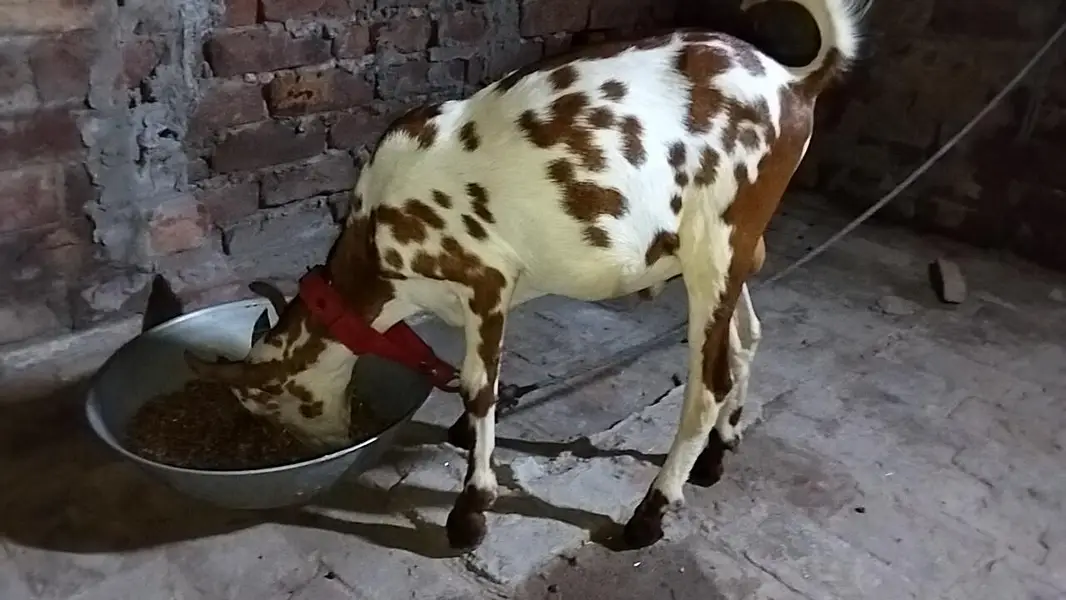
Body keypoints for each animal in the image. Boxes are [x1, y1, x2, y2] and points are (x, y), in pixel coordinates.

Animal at [186, 0, 869, 550]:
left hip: (715, 245)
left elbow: (477, 386)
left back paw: (650, 514)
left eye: (265, 404)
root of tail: (794, 82)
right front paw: (465, 438)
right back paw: (717, 456)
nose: (306, 448)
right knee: (746, 337)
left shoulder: (483, 280)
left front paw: (471, 510)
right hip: (736, 249)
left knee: (707, 383)